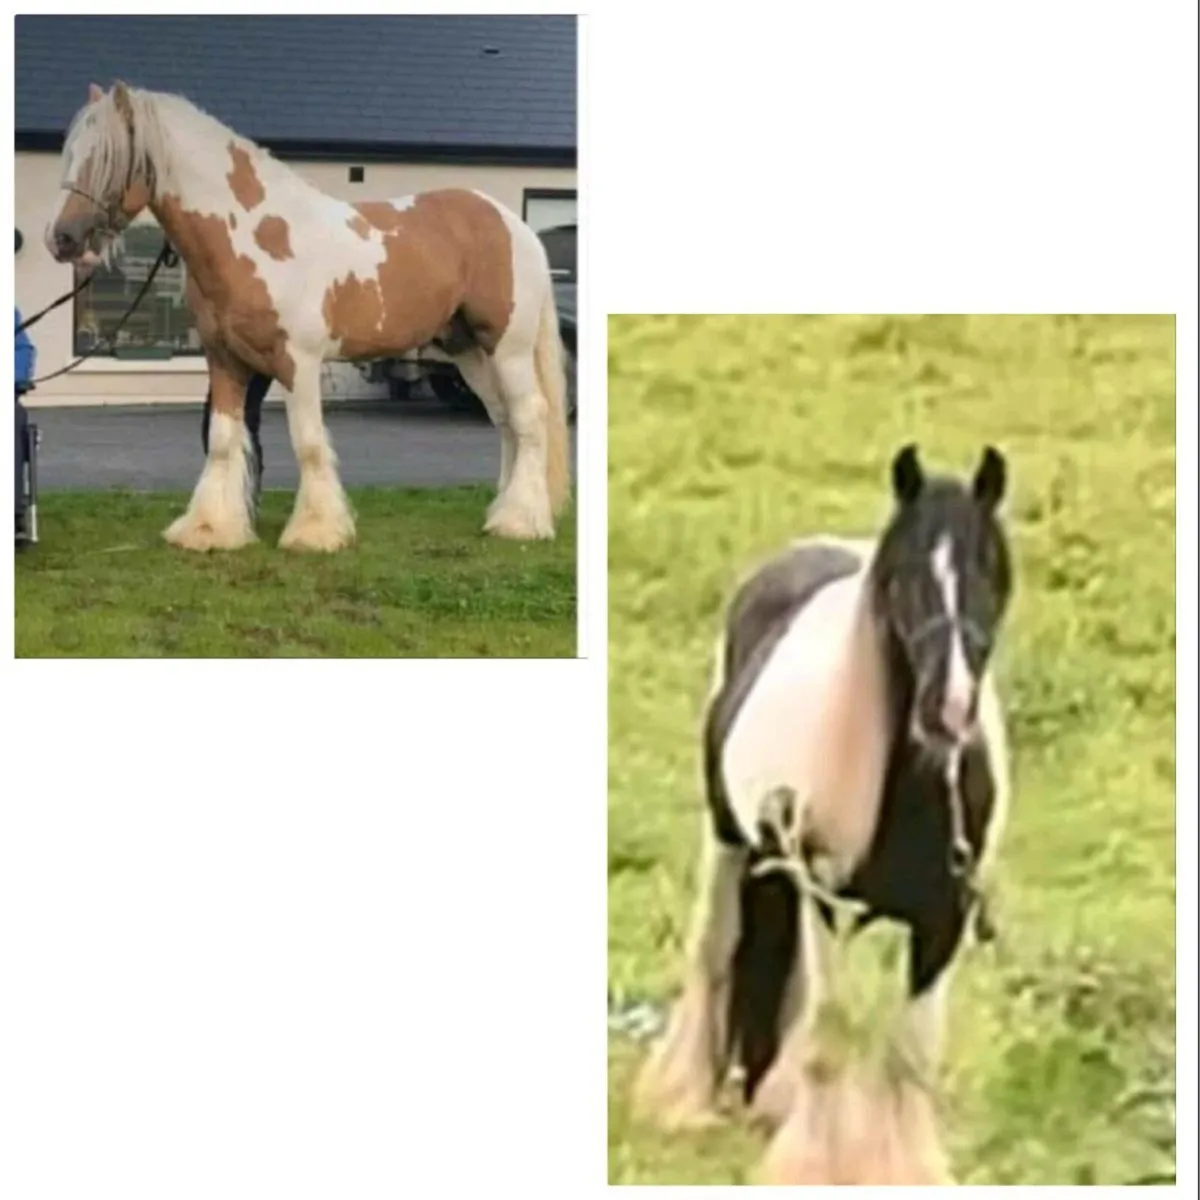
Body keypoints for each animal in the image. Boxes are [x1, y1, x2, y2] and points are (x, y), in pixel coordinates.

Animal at [45, 81, 570, 552]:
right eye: (72, 154)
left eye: (106, 157)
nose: (61, 239)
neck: (254, 235)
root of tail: (515, 225)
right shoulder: (224, 361)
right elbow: (222, 440)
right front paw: (209, 530)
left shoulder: (299, 361)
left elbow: (309, 441)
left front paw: (315, 533)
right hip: (466, 350)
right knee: (505, 420)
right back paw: (503, 512)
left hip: (508, 347)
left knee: (530, 417)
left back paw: (521, 523)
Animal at [632, 444, 1015, 1138]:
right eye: (902, 578)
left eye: (992, 572)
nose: (947, 709)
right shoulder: (828, 902)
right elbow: (829, 1040)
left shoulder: (943, 922)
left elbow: (910, 1057)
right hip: (731, 841)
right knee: (719, 951)